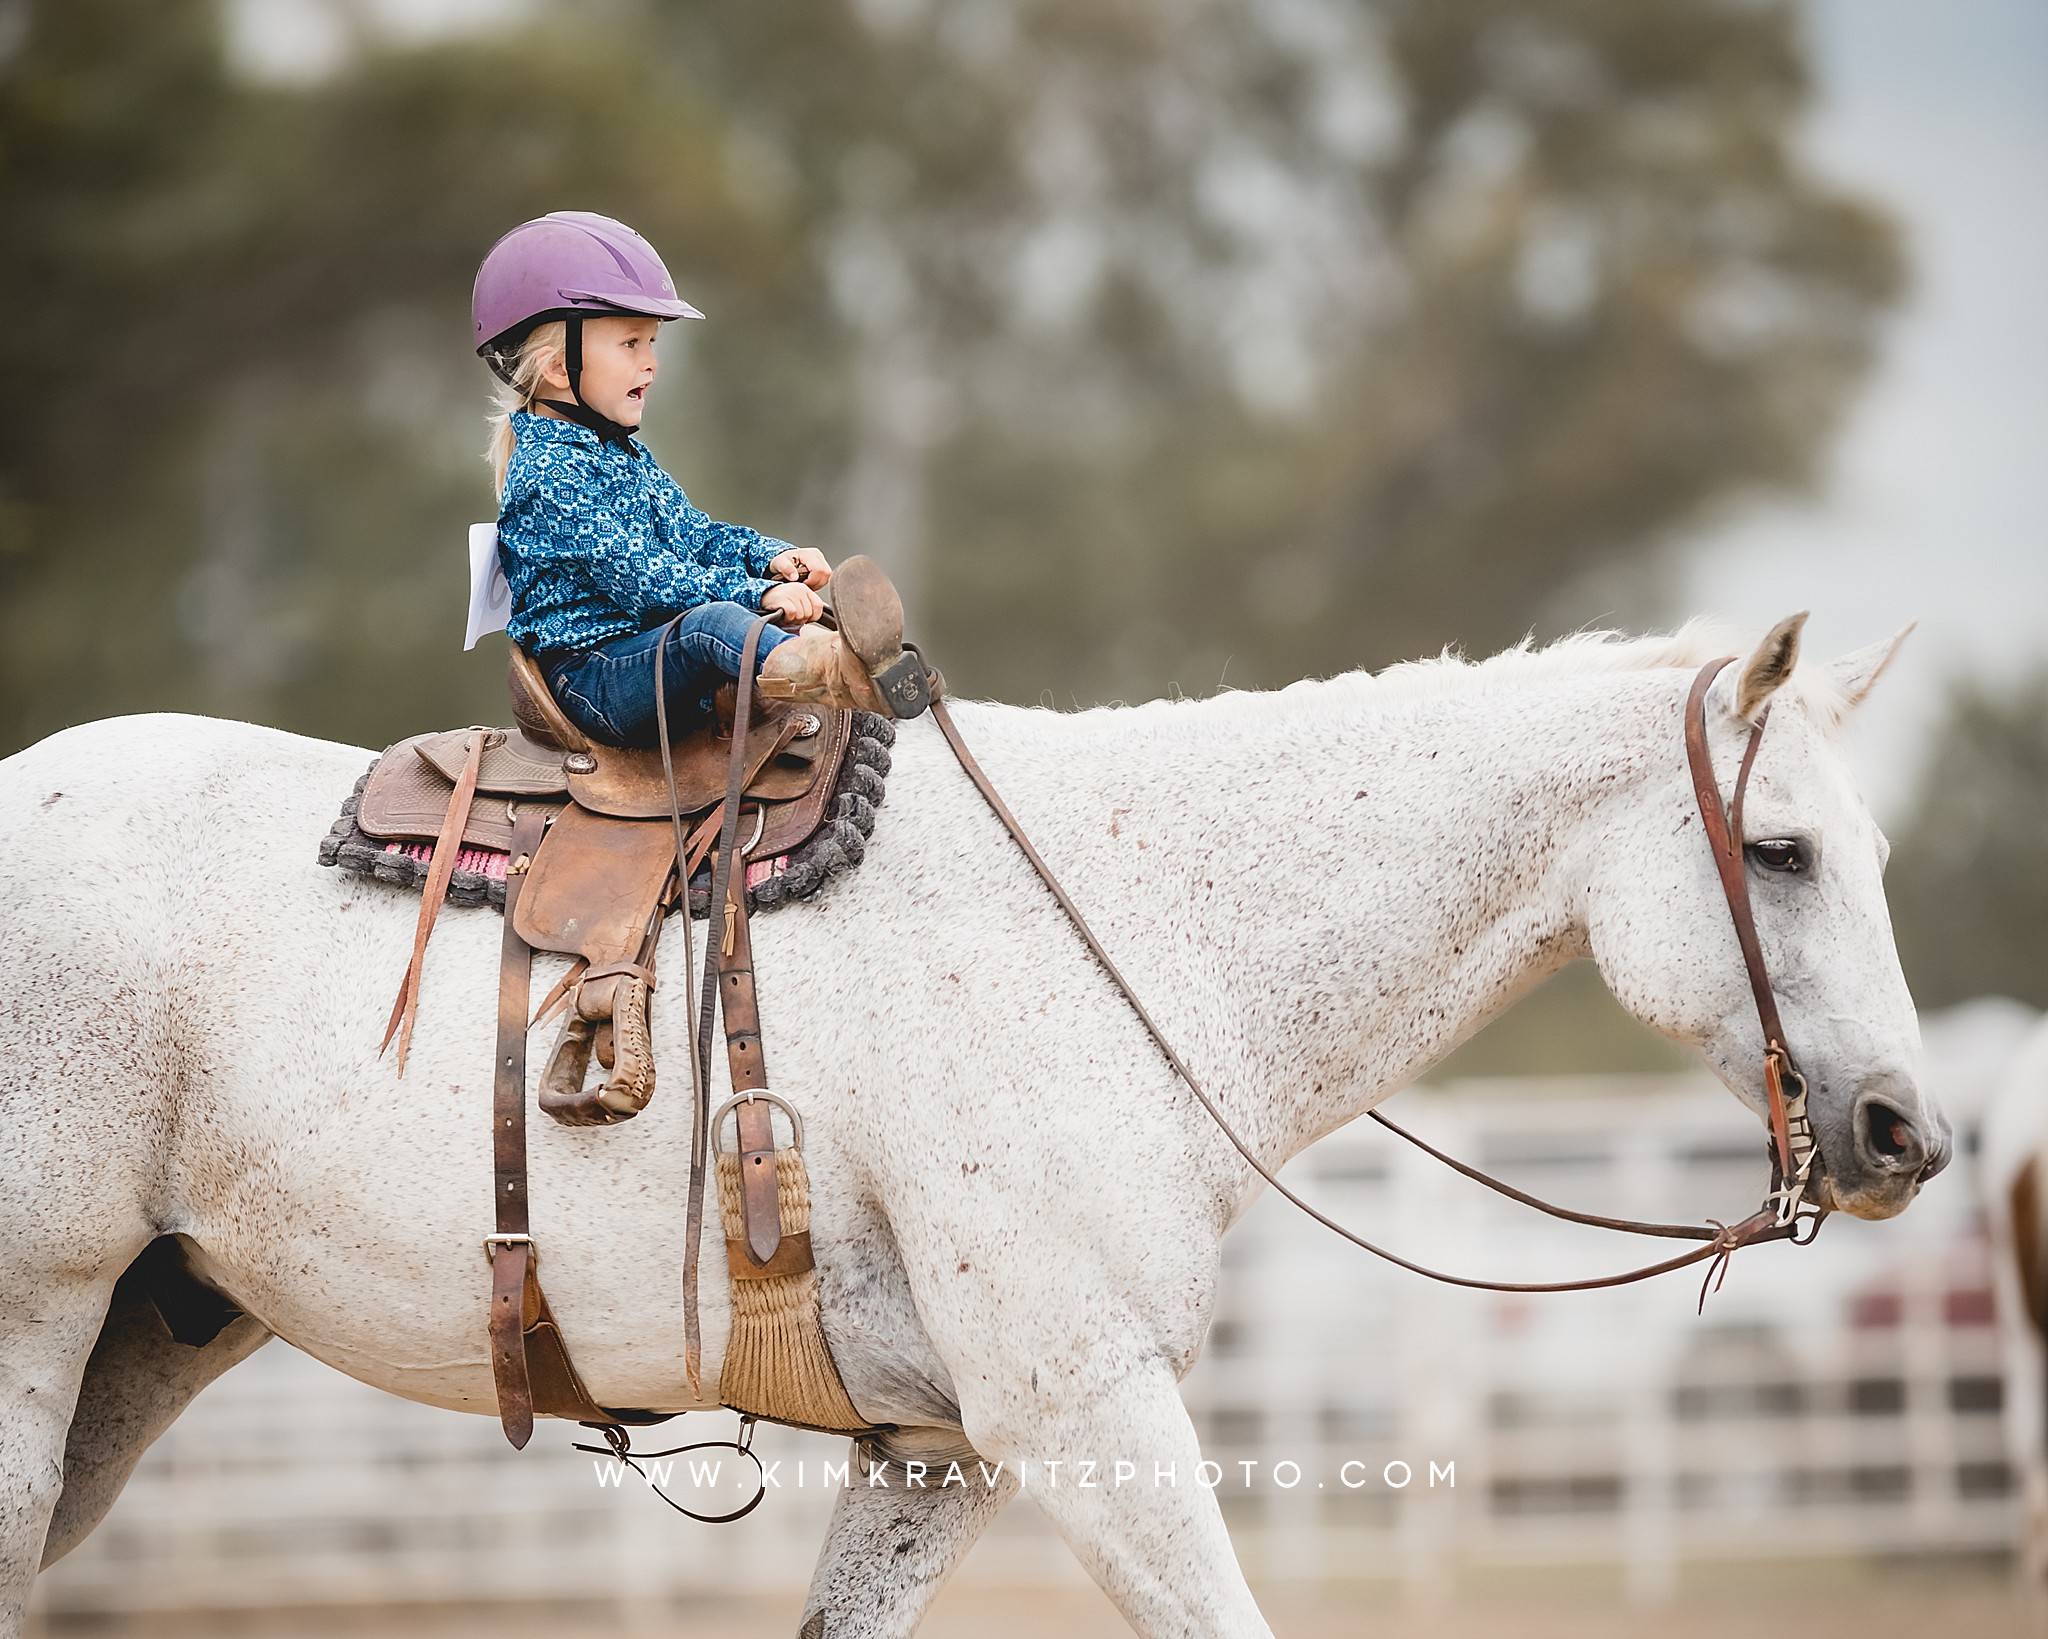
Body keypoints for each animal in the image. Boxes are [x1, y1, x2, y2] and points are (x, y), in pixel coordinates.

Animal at [4, 610, 1949, 1622]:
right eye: (1778, 849)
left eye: (1866, 847)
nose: (1900, 1132)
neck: (1132, 927)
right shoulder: (1081, 1403)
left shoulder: (937, 1448)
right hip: (36, 1324)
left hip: (148, 1331)